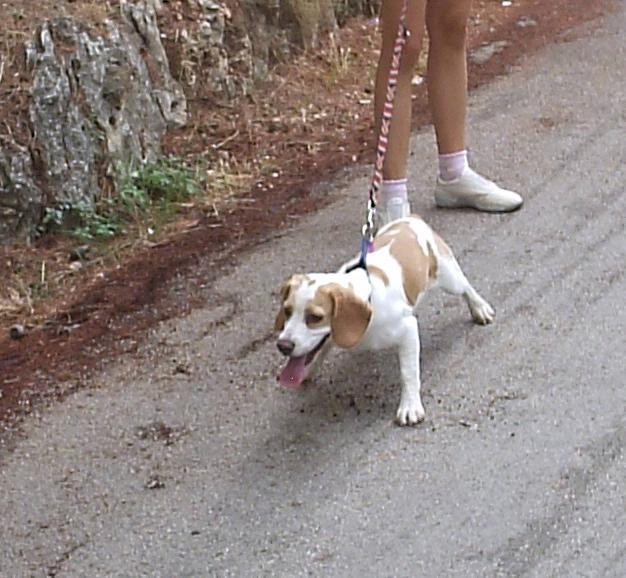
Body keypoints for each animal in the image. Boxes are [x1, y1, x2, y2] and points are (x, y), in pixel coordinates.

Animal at [272, 215, 492, 424]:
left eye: (315, 317)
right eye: (287, 310)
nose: (283, 346)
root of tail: (411, 218)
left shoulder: (407, 329)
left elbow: (408, 372)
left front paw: (410, 406)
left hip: (449, 277)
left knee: (466, 287)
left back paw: (480, 308)